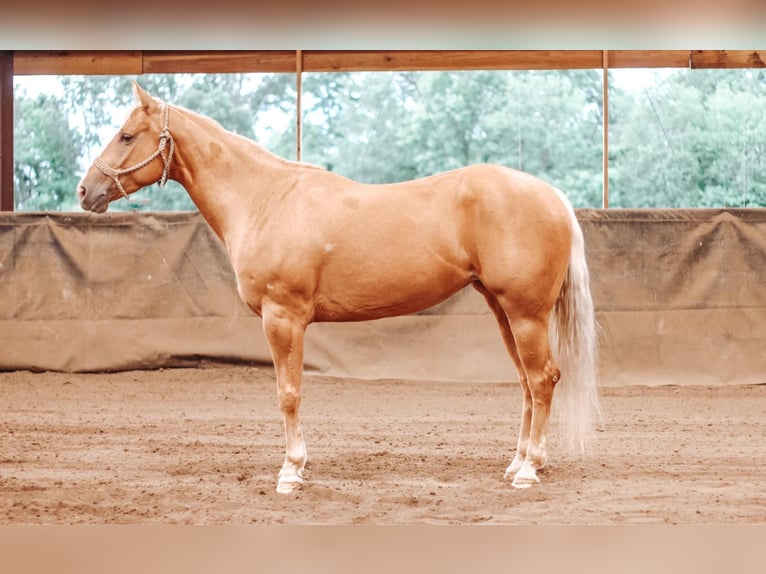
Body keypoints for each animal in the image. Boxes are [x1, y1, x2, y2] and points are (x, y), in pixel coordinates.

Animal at [81, 82, 604, 496]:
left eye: (126, 135)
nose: (86, 192)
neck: (265, 199)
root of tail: (552, 196)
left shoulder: (283, 318)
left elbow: (288, 392)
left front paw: (291, 472)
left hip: (525, 313)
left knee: (543, 380)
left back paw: (530, 471)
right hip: (503, 312)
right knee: (527, 384)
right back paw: (517, 463)